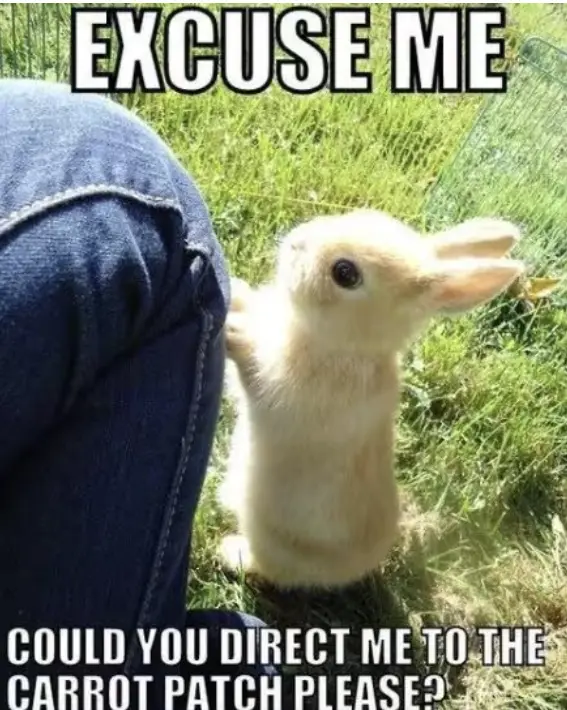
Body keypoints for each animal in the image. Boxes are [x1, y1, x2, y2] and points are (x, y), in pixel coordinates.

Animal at [218, 209, 524, 589]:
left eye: (345, 273)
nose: (295, 242)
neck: (346, 345)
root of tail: (361, 565)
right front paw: (236, 289)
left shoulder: (277, 385)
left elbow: (249, 366)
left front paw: (233, 330)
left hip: (271, 539)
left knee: (268, 567)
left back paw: (230, 553)